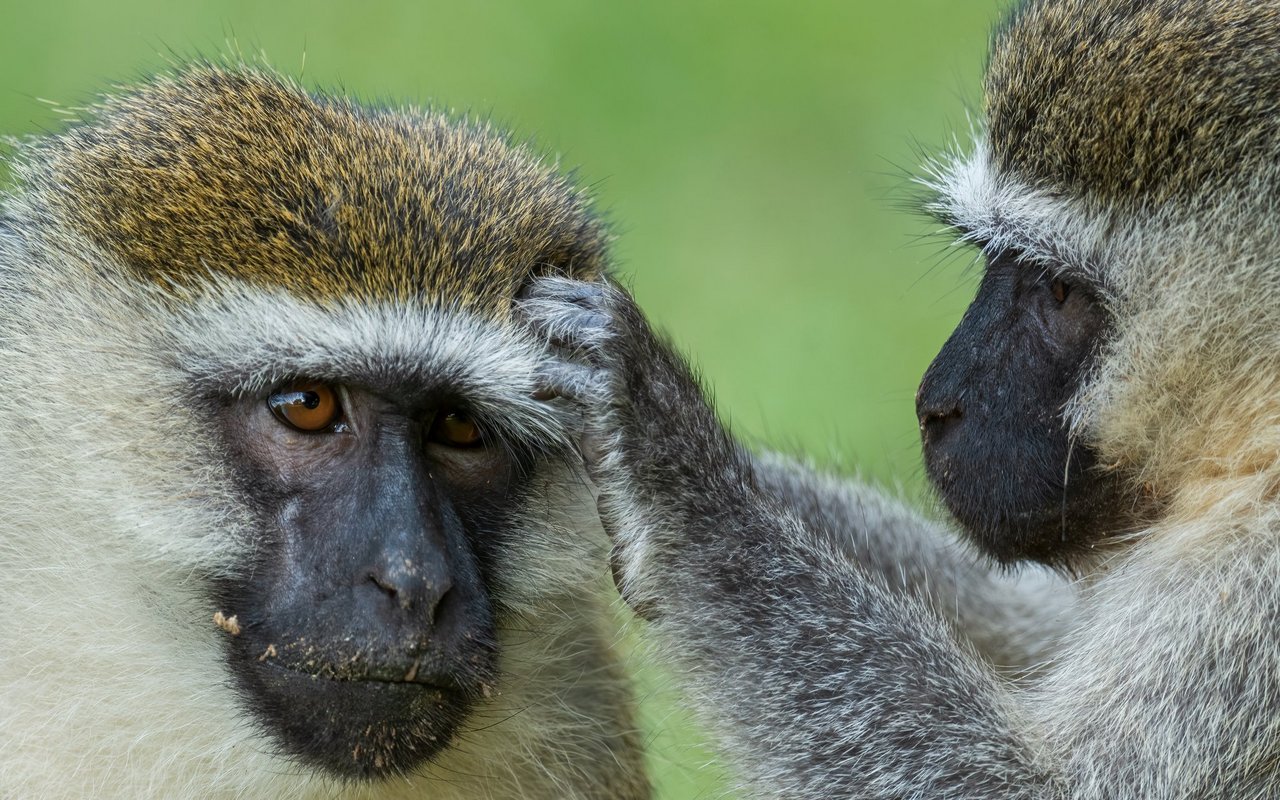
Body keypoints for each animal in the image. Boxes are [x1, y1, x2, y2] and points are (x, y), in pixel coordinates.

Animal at [522, 0, 1280, 793]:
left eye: (1059, 292)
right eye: (995, 260)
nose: (936, 403)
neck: (1254, 446)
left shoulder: (1256, 589)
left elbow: (1018, 785)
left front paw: (662, 452)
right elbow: (1028, 623)